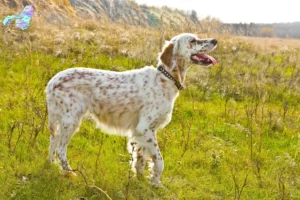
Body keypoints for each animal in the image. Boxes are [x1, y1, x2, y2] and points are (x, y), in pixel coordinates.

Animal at [45, 33, 217, 188]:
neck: (165, 78)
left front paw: (140, 181)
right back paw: (70, 174)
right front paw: (156, 183)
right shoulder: (144, 128)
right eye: (193, 40)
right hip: (71, 120)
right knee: (60, 149)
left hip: (62, 121)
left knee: (53, 142)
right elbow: (159, 161)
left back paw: (53, 166)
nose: (215, 40)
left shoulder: (140, 131)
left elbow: (140, 159)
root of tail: (52, 82)